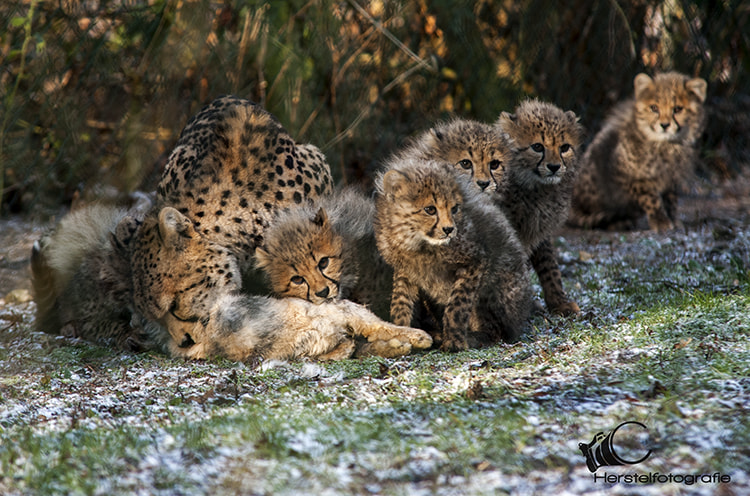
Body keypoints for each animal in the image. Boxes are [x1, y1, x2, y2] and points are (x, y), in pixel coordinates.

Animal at [373, 157, 533, 351]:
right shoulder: (406, 270)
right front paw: (402, 331)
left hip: (498, 291)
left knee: (496, 330)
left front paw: (454, 341)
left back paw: (471, 337)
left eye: (455, 209)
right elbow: (400, 301)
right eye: (430, 209)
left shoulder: (476, 261)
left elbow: (457, 305)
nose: (449, 229)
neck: (416, 242)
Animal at [495, 99, 585, 316]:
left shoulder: (539, 230)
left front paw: (559, 302)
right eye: (537, 147)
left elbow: (549, 266)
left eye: (564, 147)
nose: (554, 167)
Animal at [569, 71, 708, 232]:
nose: (664, 125)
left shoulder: (671, 178)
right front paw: (660, 221)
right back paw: (619, 222)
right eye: (654, 108)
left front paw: (673, 219)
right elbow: (651, 198)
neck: (666, 145)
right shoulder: (632, 177)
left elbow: (671, 200)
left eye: (678, 109)